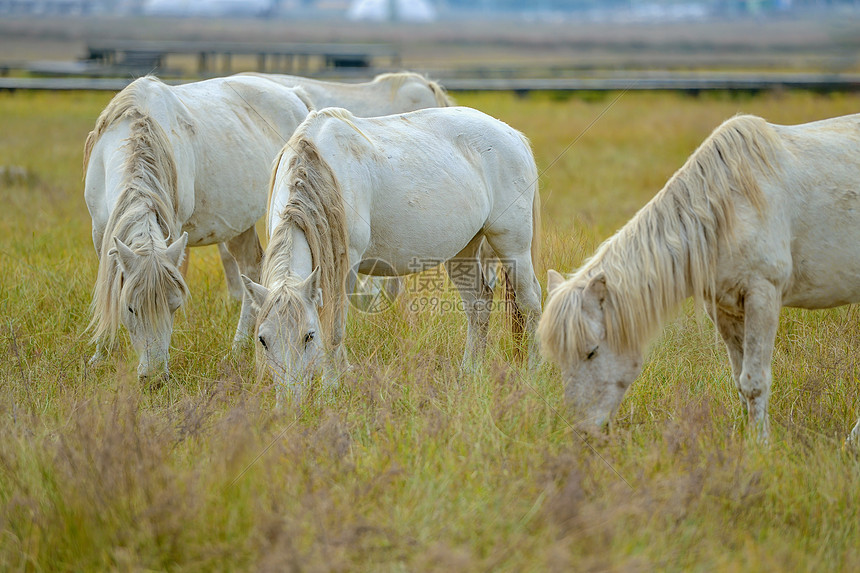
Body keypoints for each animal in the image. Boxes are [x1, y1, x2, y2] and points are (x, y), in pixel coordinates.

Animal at [84, 73, 310, 378]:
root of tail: (294, 94)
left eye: (175, 306)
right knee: (251, 267)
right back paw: (240, 346)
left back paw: (238, 345)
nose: (154, 377)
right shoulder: (101, 232)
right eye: (130, 309)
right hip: (238, 226)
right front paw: (101, 355)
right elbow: (107, 288)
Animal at [239, 107, 540, 402]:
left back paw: (534, 370)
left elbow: (334, 330)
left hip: (513, 246)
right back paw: (469, 372)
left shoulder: (345, 268)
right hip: (463, 251)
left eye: (308, 336)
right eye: (263, 340)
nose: (290, 404)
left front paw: (331, 390)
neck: (321, 170)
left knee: (530, 302)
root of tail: (512, 134)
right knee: (478, 303)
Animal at [536, 113, 860, 446]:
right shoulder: (724, 308)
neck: (726, 210)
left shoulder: (763, 296)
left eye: (591, 352)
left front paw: (760, 446)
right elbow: (740, 381)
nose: (582, 432)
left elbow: (755, 381)